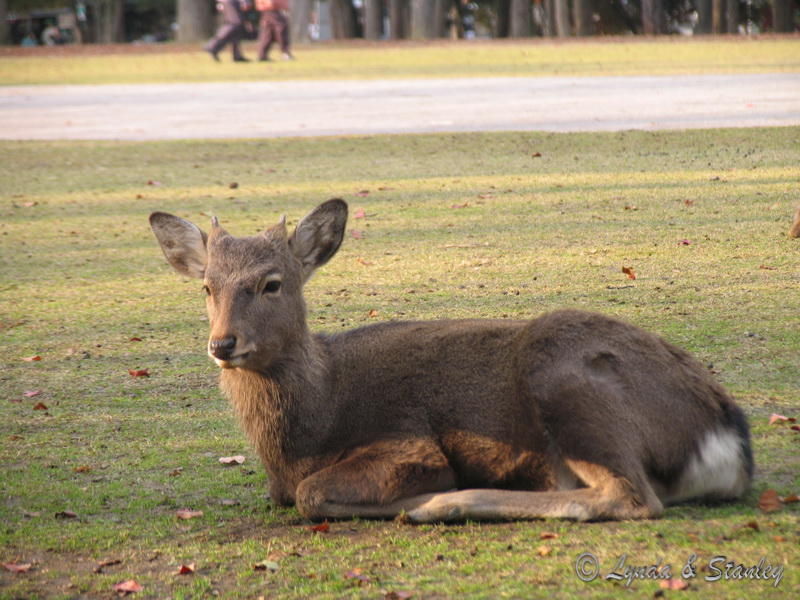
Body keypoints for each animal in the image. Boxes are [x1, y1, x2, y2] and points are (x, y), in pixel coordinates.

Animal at [148, 199, 752, 524]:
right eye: (207, 286)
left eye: (272, 283)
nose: (223, 345)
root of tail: (727, 439)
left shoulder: (408, 444)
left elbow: (310, 494)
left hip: (566, 378)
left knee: (628, 495)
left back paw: (444, 502)